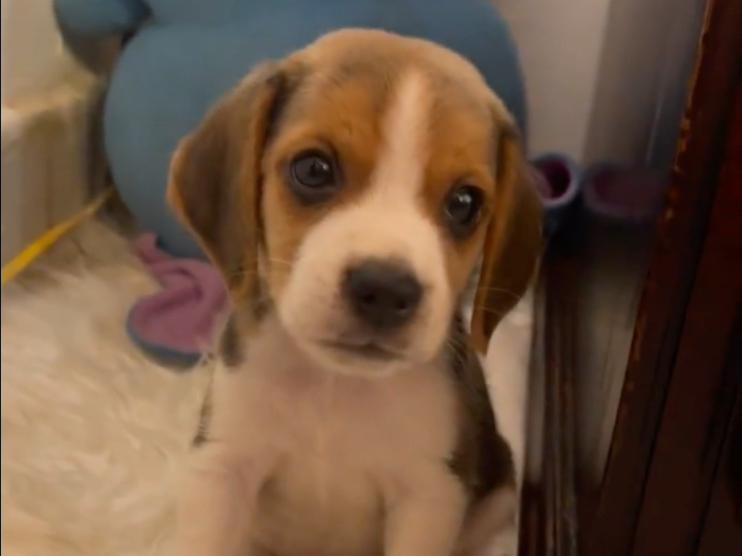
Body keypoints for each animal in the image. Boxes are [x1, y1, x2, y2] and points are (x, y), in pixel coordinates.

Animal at [166, 28, 542, 556]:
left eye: (465, 203)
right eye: (313, 170)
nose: (384, 289)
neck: (336, 386)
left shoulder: (428, 496)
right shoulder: (222, 467)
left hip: (500, 494)